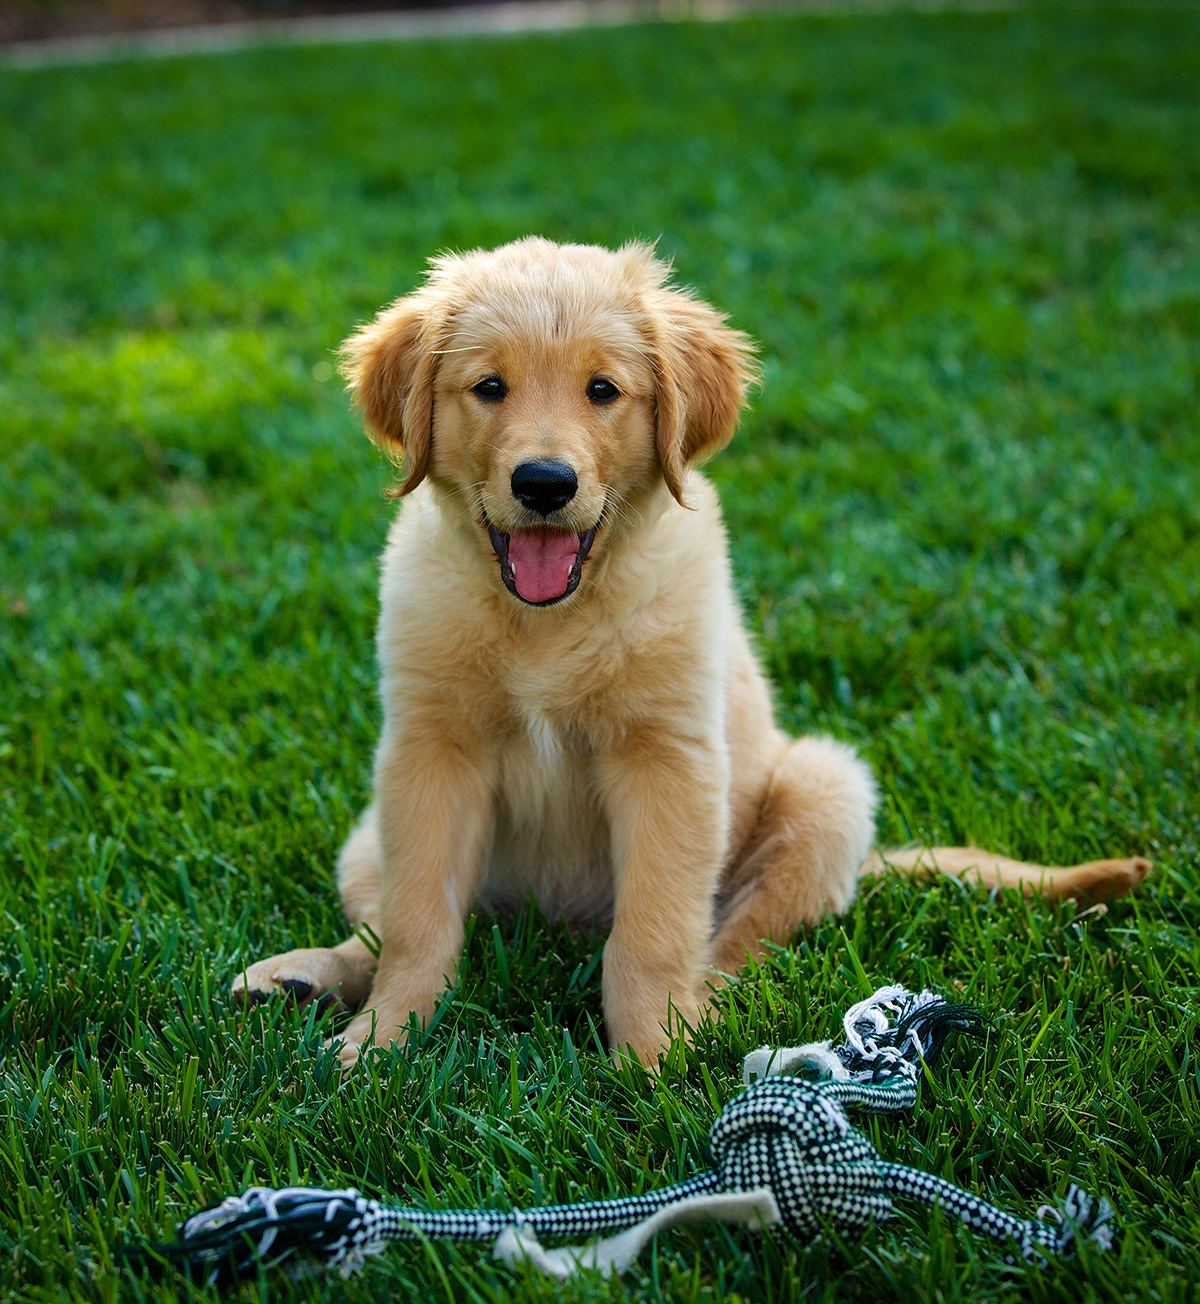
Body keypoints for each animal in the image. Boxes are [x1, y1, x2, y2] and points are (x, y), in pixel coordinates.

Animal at [226, 237, 1153, 1069]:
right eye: (488, 387)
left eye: (604, 391)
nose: (543, 484)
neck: (548, 621)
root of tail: (555, 924)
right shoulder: (428, 751)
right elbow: (421, 925)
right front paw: (378, 1046)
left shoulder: (669, 759)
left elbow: (654, 932)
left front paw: (653, 1065)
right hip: (370, 829)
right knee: (385, 926)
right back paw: (301, 978)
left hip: (826, 790)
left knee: (738, 944)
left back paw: (712, 1020)